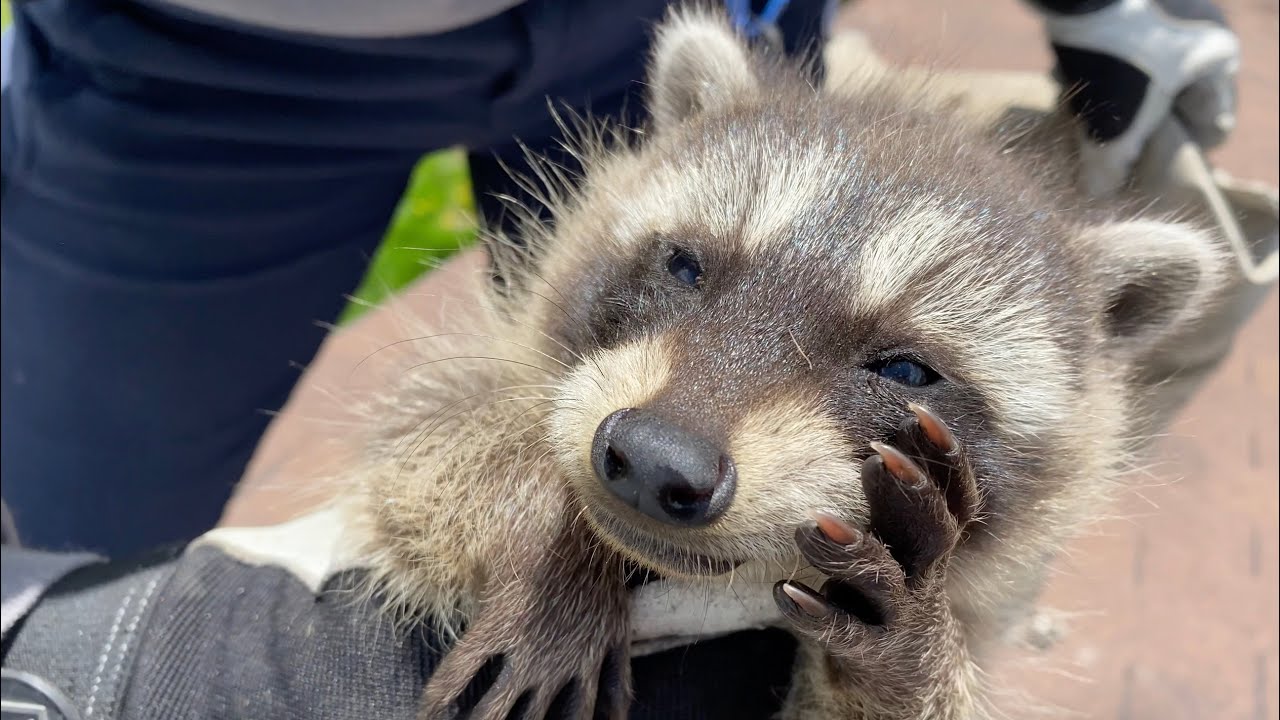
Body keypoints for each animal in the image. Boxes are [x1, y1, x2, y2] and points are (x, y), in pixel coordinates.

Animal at [338, 6, 1229, 719]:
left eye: (906, 371)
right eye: (685, 266)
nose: (656, 459)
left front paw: (909, 648)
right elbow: (426, 440)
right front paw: (551, 535)